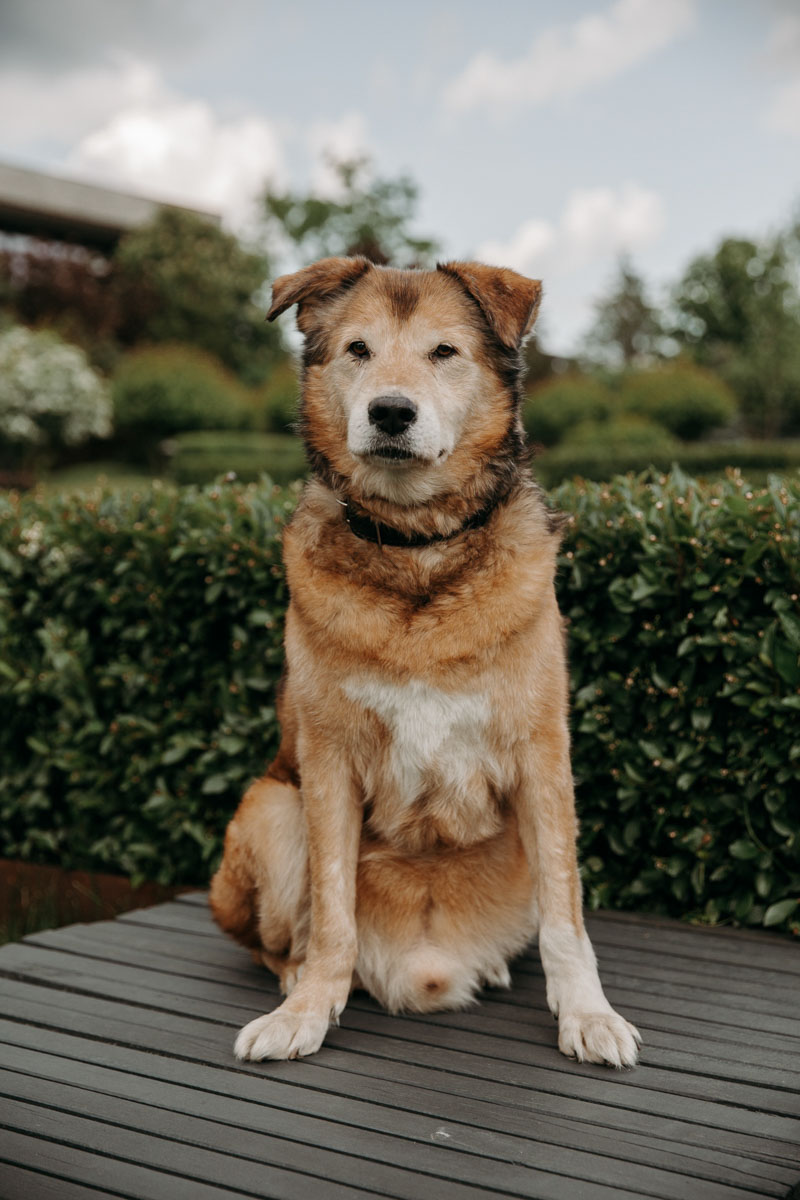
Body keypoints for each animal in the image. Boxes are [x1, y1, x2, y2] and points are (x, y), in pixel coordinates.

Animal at [209, 255, 642, 1070]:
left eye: (444, 352)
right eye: (358, 350)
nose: (390, 413)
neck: (418, 550)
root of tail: (424, 970)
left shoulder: (543, 759)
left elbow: (567, 916)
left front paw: (588, 1014)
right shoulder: (327, 765)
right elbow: (333, 907)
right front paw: (308, 1009)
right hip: (270, 808)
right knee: (284, 939)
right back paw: (300, 983)